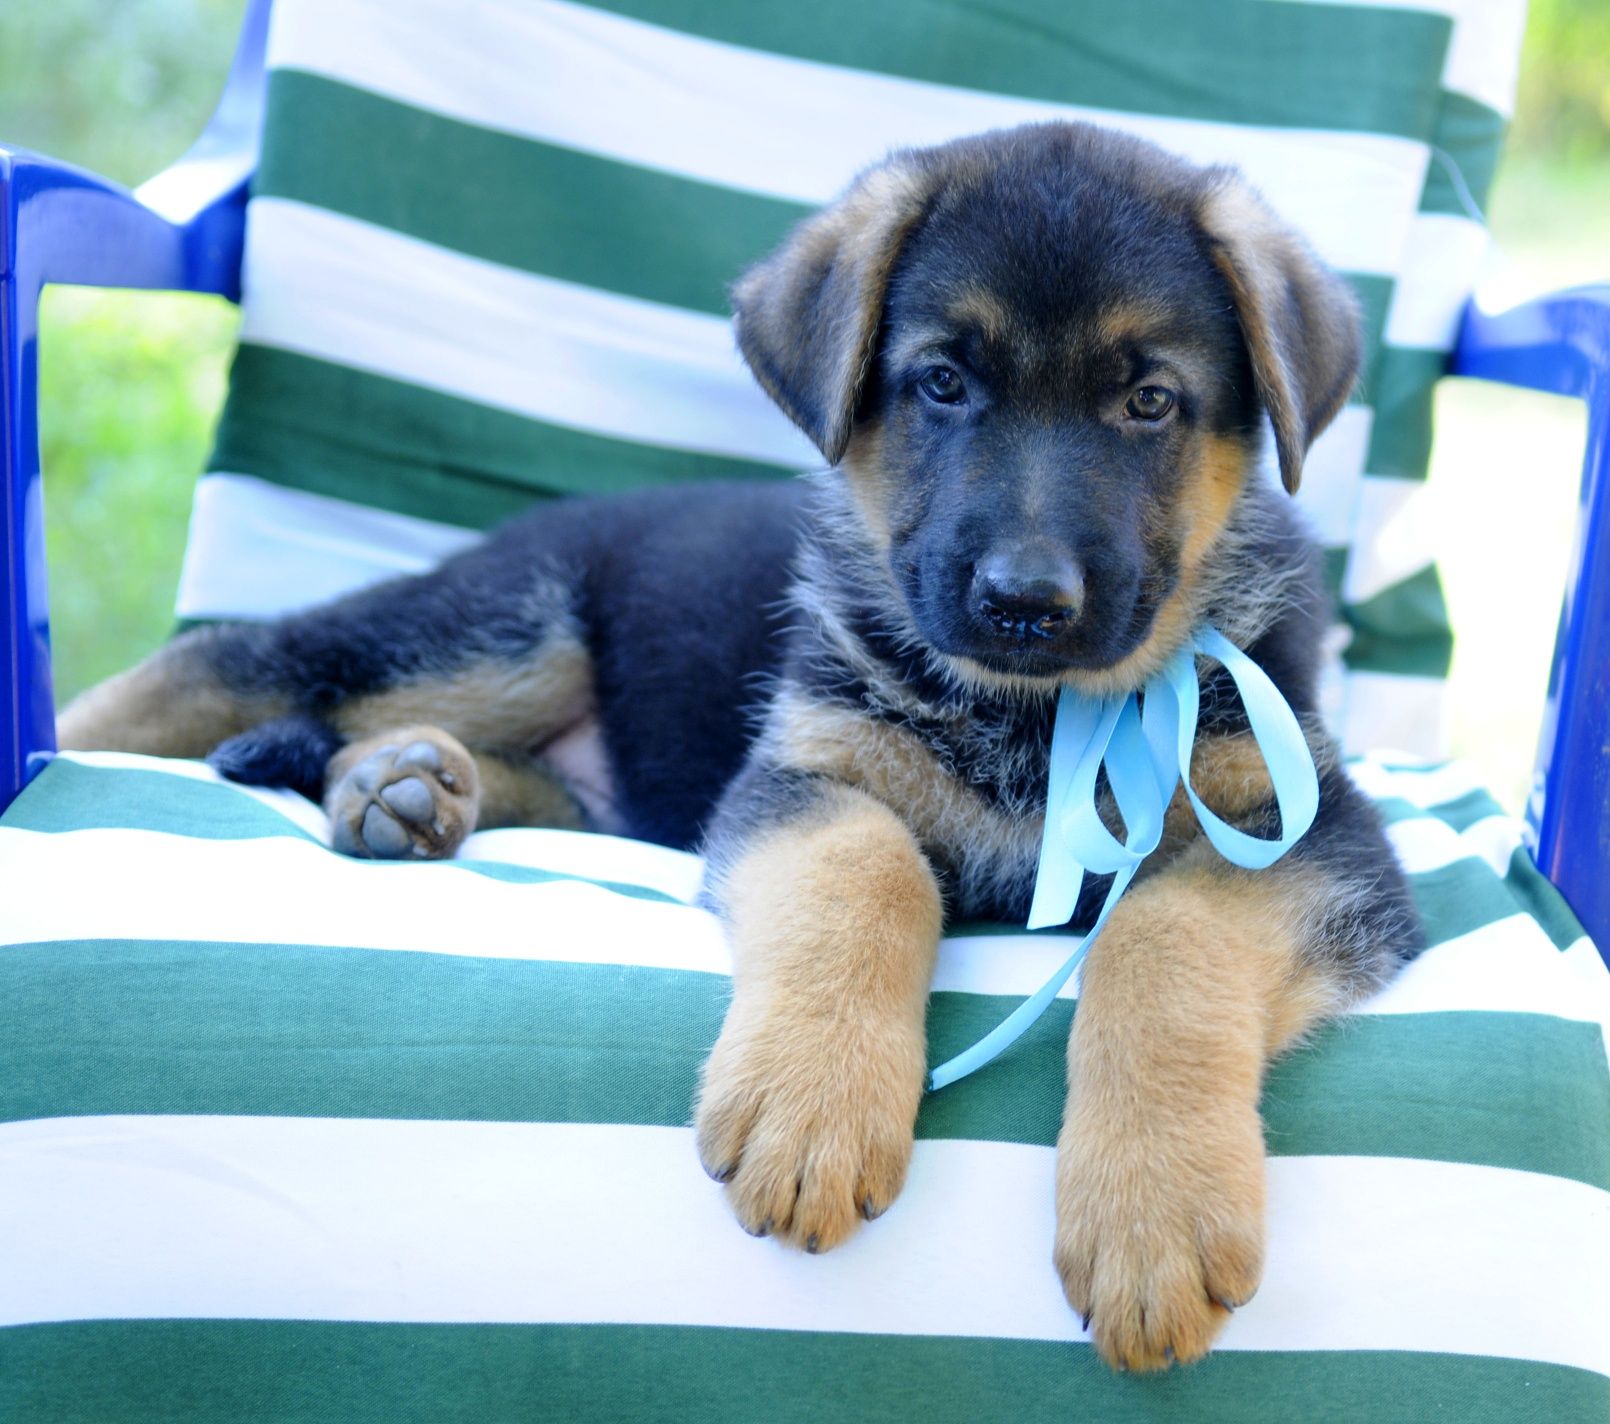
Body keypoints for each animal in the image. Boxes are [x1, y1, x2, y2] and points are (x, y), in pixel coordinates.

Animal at [59, 124, 1423, 1378]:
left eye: (1148, 400)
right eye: (942, 384)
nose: (1024, 602)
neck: (1036, 711)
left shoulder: (1307, 835)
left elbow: (1162, 931)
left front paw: (1153, 1209)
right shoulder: (808, 773)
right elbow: (869, 870)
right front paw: (812, 1101)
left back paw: (401, 788)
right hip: (502, 626)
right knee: (231, 659)